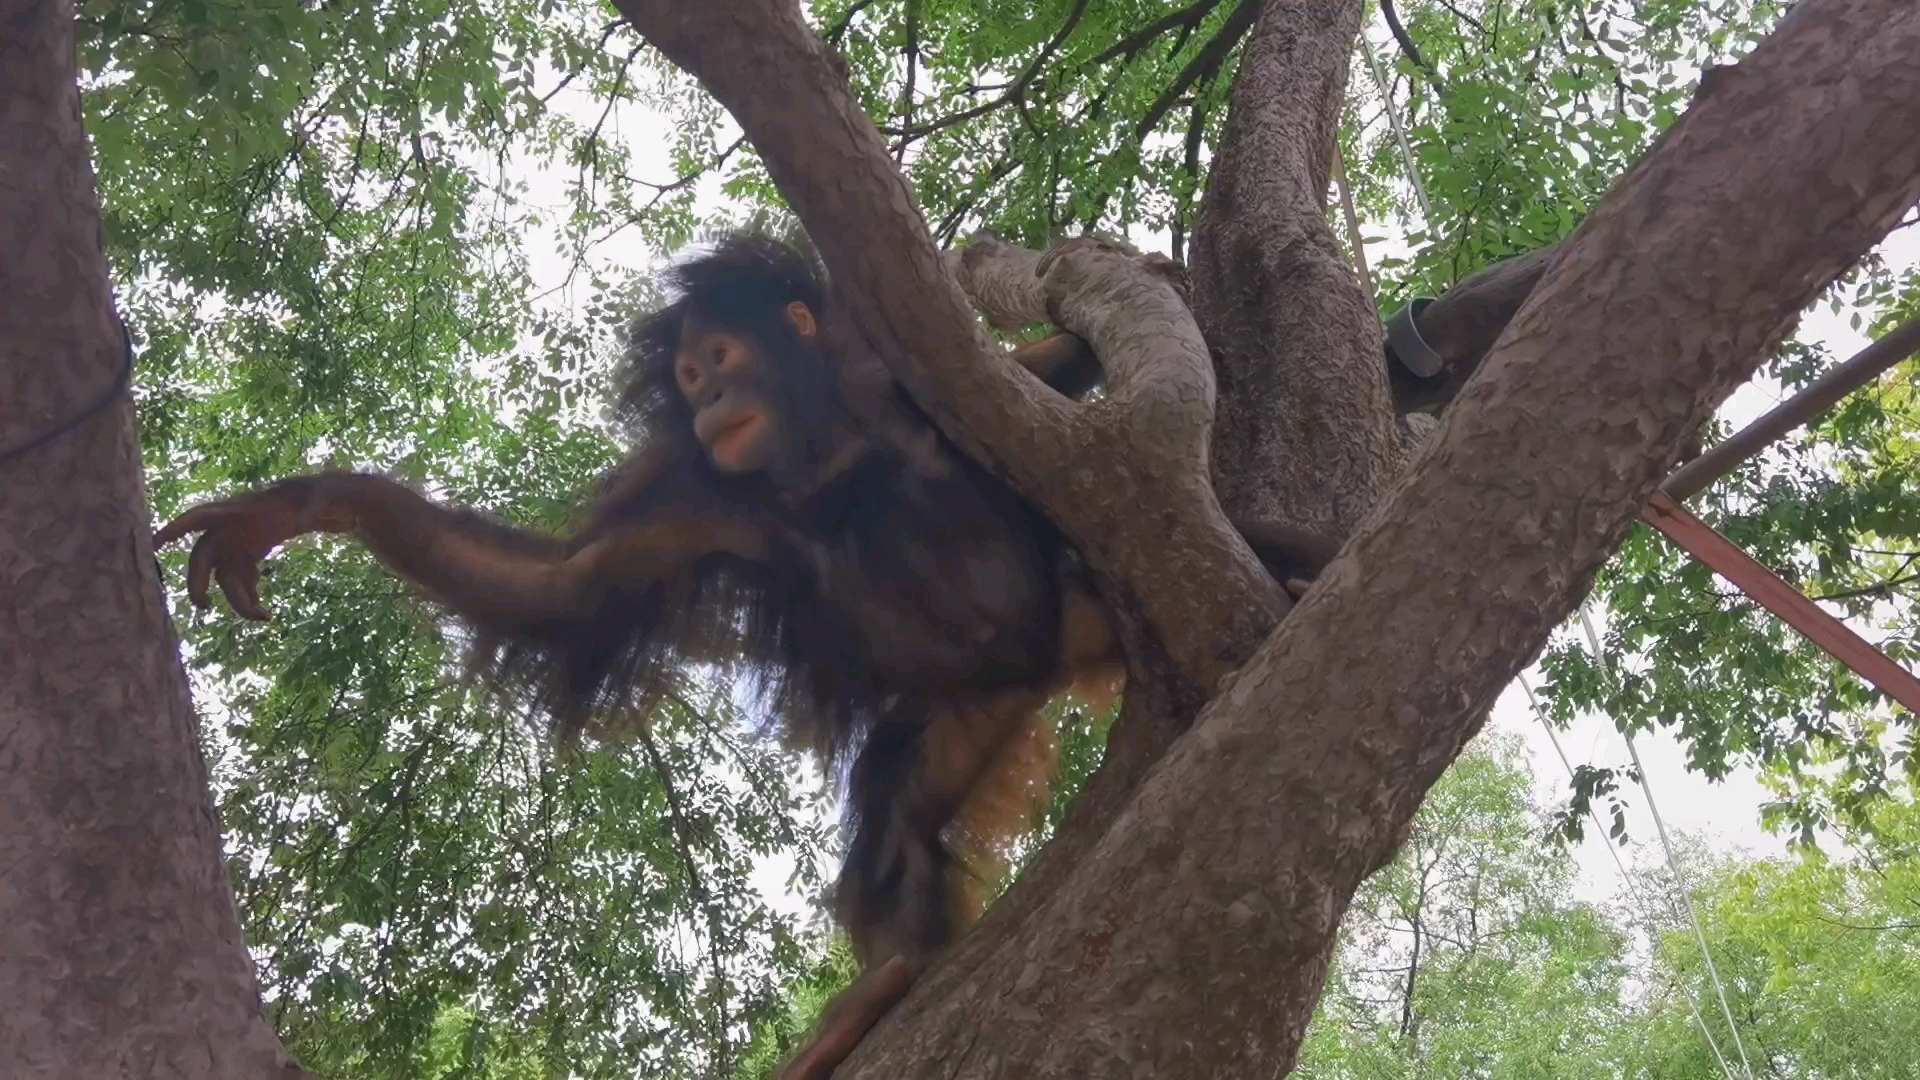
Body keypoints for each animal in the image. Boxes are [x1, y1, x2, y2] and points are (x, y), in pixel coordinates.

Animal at [157, 231, 1336, 1068]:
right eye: (685, 382)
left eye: (720, 360)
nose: (712, 395)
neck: (827, 447)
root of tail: (1047, 657)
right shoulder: (697, 500)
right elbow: (561, 588)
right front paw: (309, 505)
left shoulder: (904, 388)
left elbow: (1040, 377)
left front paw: (1138, 278)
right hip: (964, 707)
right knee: (897, 812)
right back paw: (883, 981)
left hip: (1077, 608)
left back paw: (1296, 573)